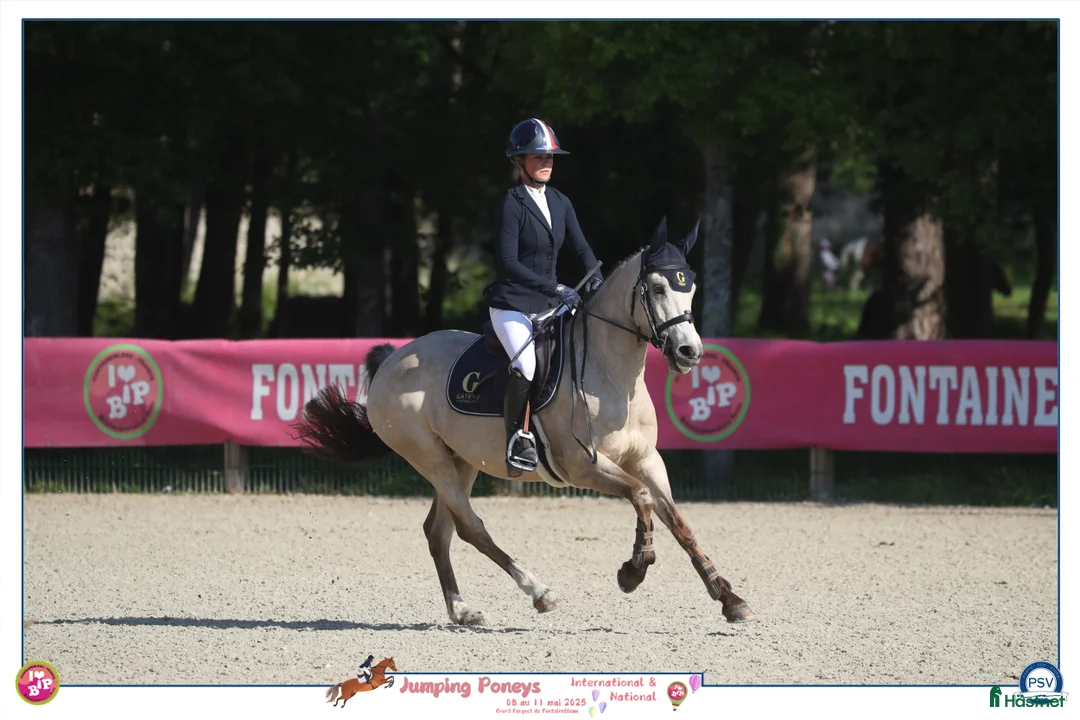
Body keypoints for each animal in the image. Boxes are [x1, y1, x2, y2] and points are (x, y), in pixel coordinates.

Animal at [293, 217, 756, 627]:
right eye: (658, 287)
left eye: (690, 286)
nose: (689, 352)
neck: (611, 372)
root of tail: (392, 358)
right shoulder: (583, 465)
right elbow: (641, 498)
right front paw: (633, 570)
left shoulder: (646, 460)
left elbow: (678, 522)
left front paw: (729, 599)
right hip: (429, 458)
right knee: (471, 527)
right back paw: (539, 592)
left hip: (462, 459)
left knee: (439, 531)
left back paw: (464, 611)